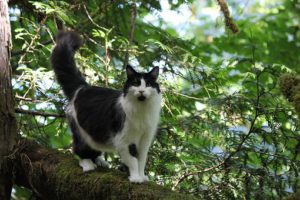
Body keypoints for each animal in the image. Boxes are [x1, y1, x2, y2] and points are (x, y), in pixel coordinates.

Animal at [50, 31, 162, 183]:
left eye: (149, 84)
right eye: (135, 83)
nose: (141, 91)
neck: (142, 110)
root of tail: (82, 87)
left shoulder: (145, 140)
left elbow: (141, 161)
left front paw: (142, 176)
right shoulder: (124, 140)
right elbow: (133, 161)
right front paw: (135, 178)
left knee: (93, 151)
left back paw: (100, 161)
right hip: (81, 132)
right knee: (79, 150)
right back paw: (88, 165)